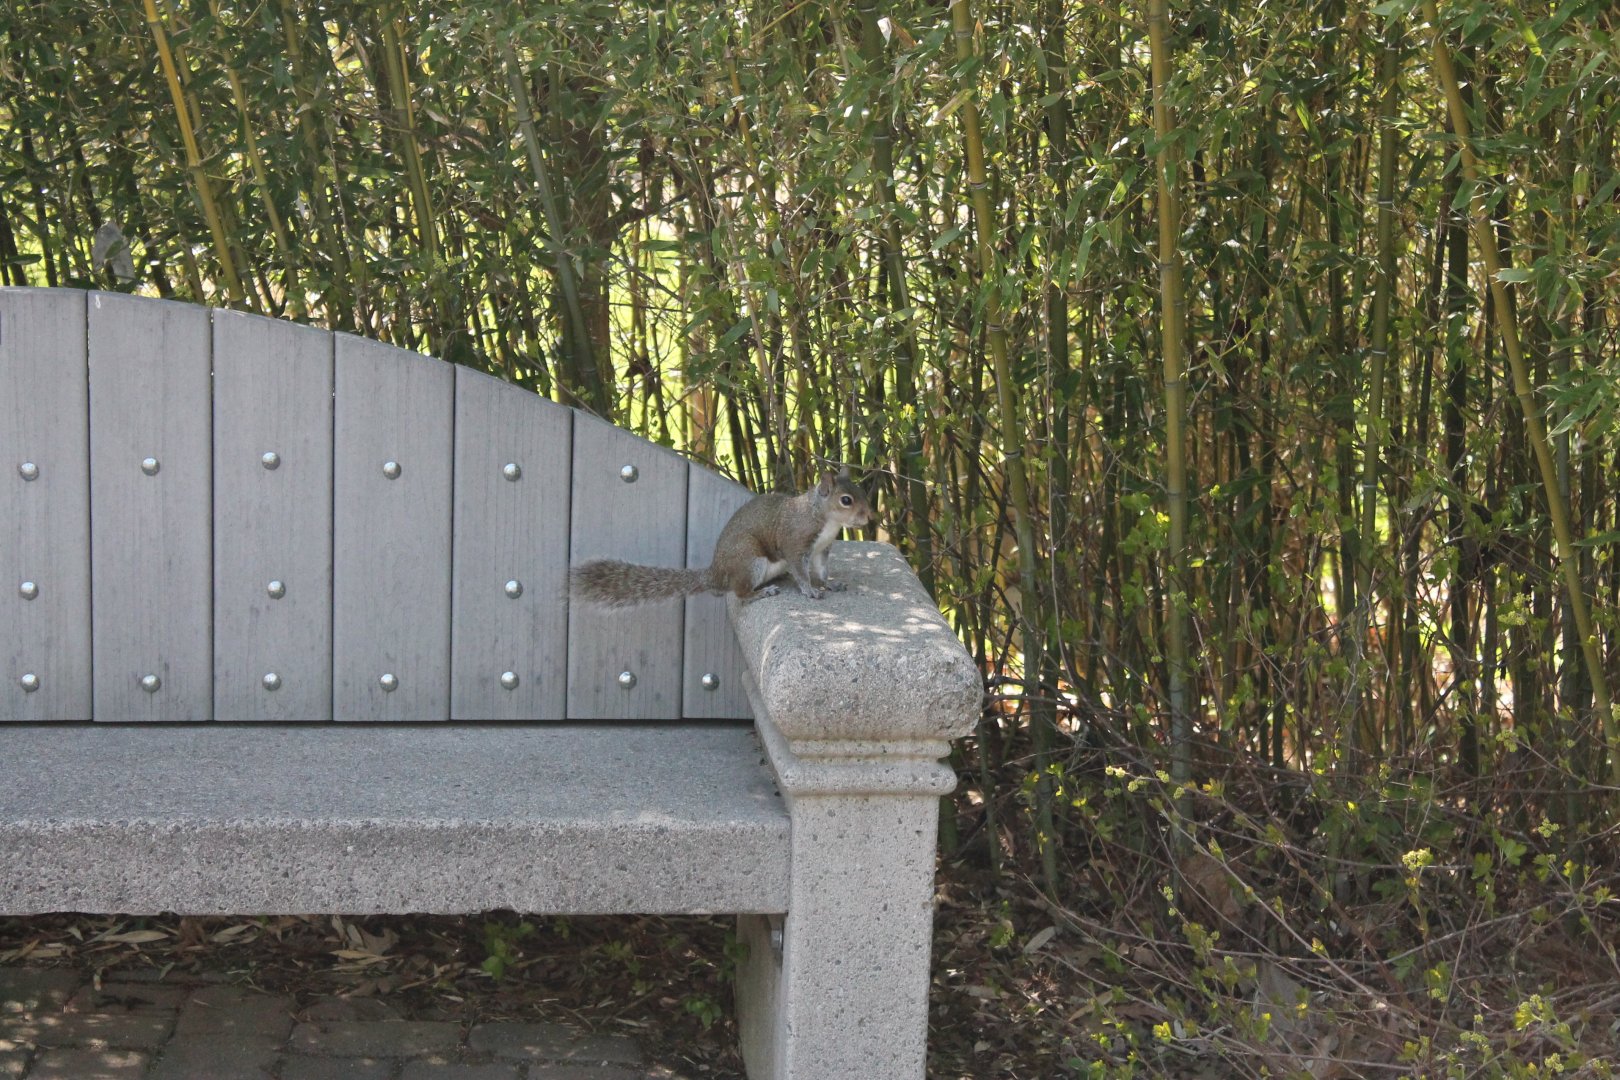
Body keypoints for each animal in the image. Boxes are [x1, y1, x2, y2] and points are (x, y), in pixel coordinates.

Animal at [570, 468, 873, 608]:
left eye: (861, 491)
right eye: (846, 500)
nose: (868, 516)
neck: (825, 519)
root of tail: (715, 574)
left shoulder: (821, 549)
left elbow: (821, 571)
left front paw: (829, 584)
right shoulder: (796, 543)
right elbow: (801, 570)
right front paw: (809, 590)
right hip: (749, 559)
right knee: (739, 593)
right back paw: (760, 593)